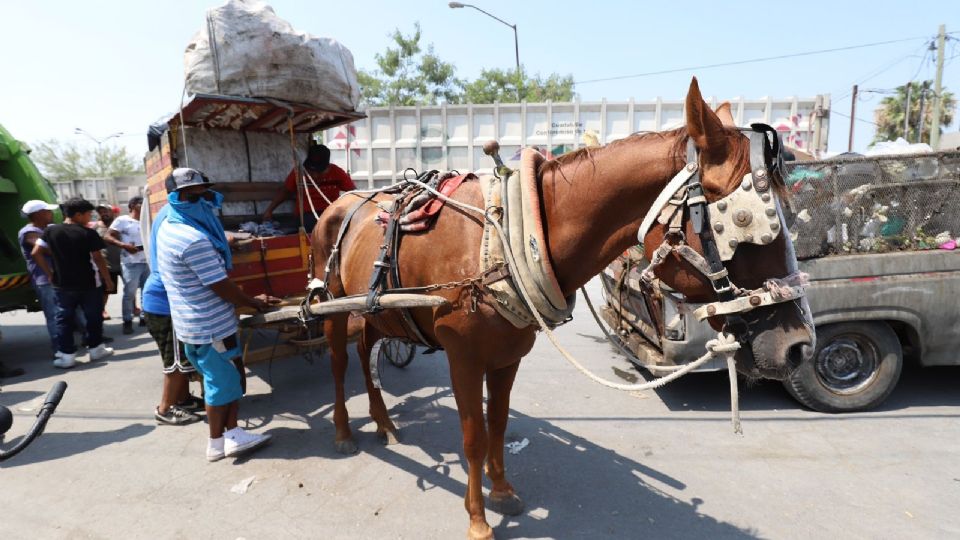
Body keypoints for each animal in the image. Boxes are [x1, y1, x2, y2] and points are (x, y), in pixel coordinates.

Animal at [312, 78, 812, 536]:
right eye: (743, 222)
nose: (799, 347)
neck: (500, 241)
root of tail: (340, 202)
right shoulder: (463, 358)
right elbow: (473, 437)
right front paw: (478, 520)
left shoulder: (507, 356)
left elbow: (498, 425)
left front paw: (502, 492)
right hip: (330, 306)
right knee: (338, 362)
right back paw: (343, 433)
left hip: (377, 311)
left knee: (366, 351)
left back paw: (384, 423)